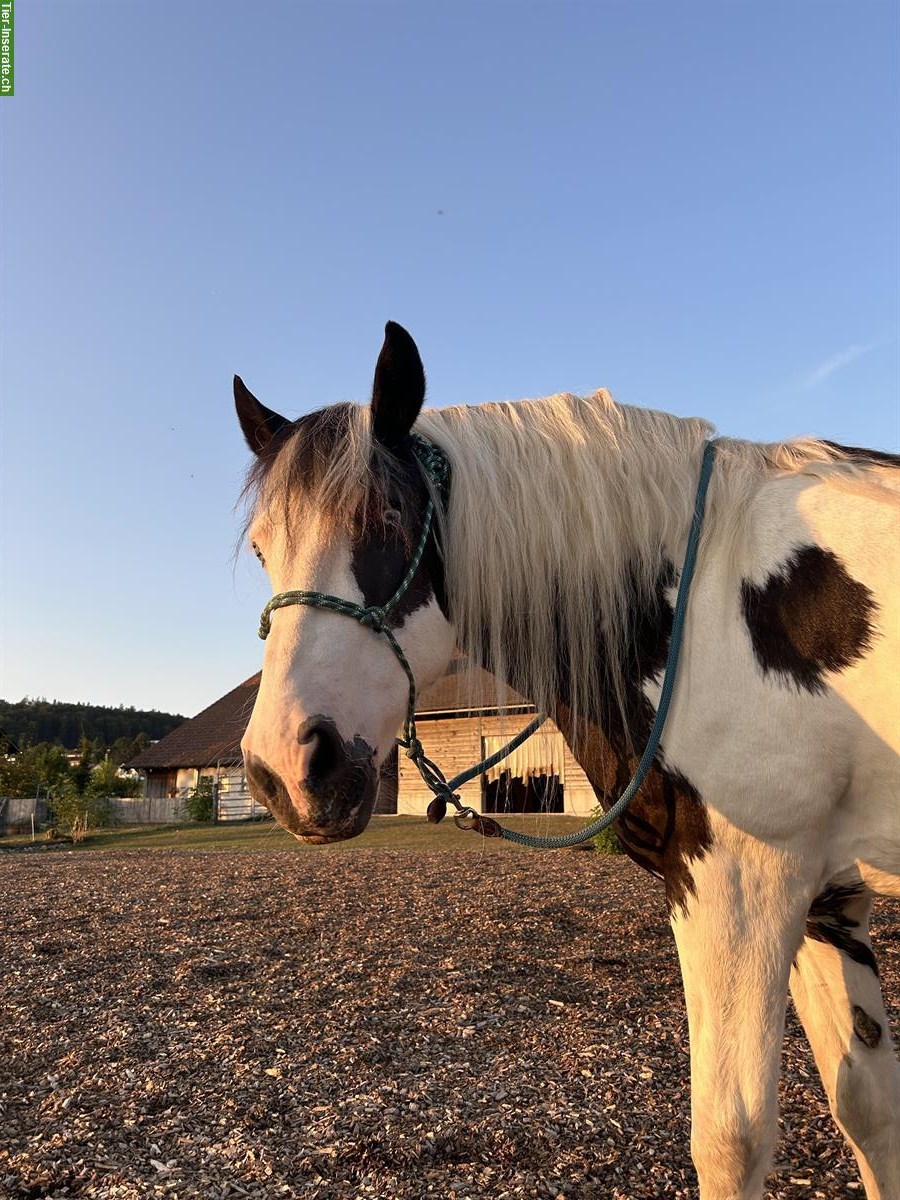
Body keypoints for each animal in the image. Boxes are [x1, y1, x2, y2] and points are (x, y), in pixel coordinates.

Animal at [234, 321, 900, 1200]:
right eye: (261, 550)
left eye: (387, 517)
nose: (286, 766)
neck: (700, 599)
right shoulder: (828, 891)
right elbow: (868, 1108)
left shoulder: (743, 885)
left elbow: (732, 1140)